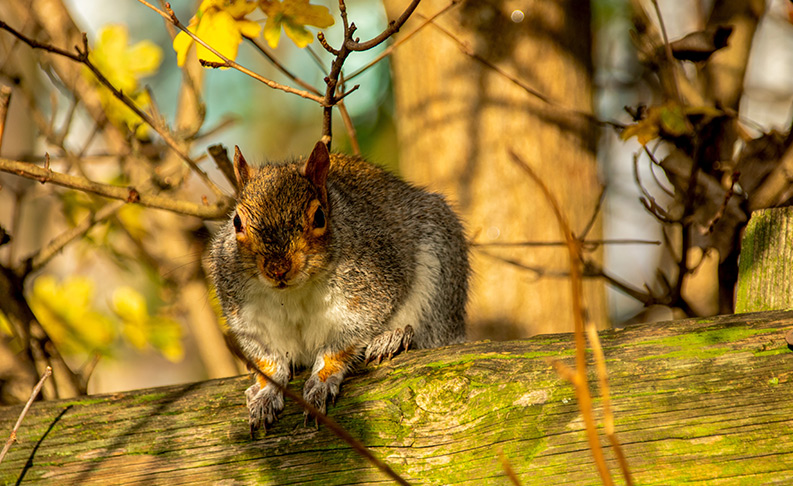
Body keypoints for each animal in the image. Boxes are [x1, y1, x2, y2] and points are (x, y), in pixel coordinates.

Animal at [209, 141, 470, 432]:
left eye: (319, 217)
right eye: (236, 222)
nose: (277, 268)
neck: (293, 291)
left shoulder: (368, 293)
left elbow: (342, 344)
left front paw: (322, 381)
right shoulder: (247, 314)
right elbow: (268, 359)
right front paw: (265, 392)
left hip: (438, 278)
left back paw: (394, 338)